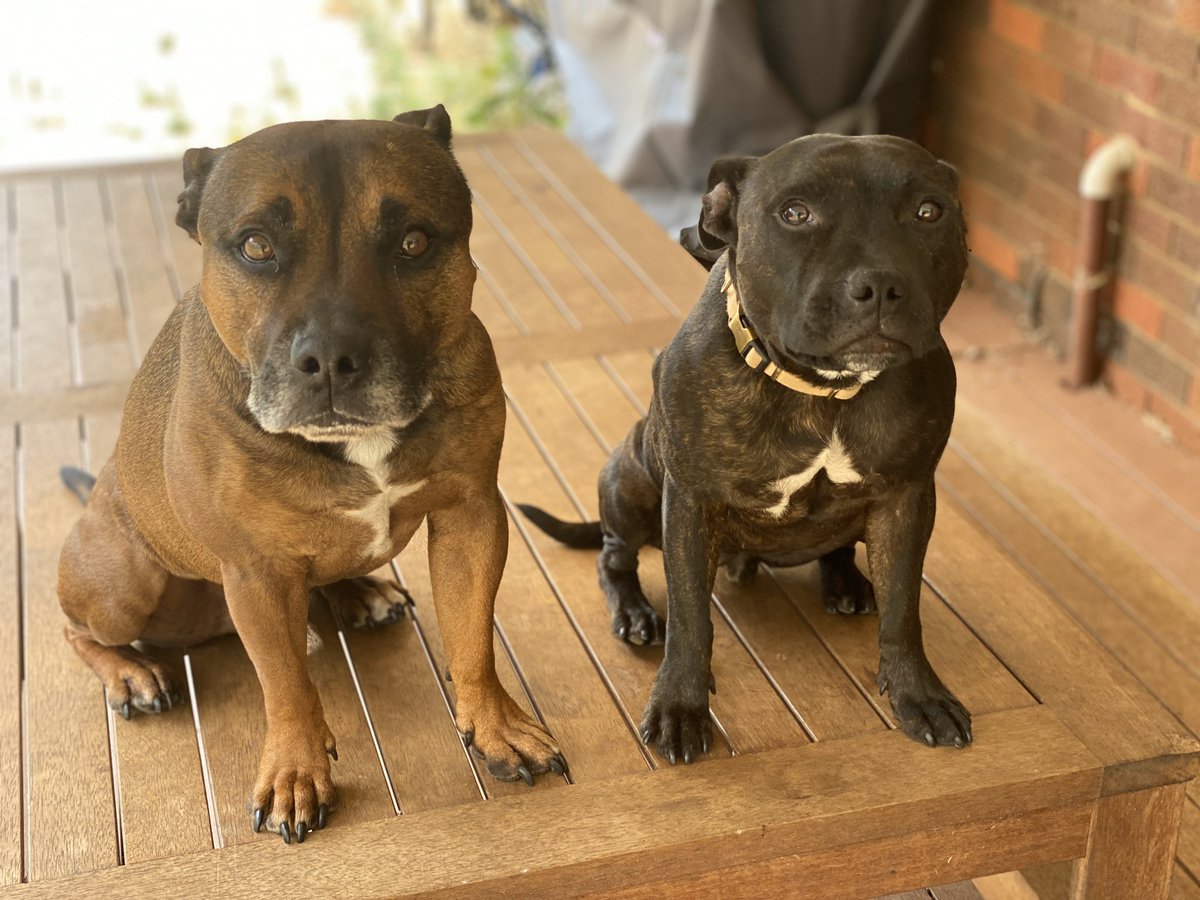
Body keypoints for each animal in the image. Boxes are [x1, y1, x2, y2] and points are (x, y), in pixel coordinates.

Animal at [55, 105, 561, 844]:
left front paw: (494, 725)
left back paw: (357, 590)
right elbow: (287, 685)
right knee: (77, 629)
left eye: (413, 242)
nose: (330, 357)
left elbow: (473, 637)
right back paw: (129, 673)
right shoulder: (257, 574)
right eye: (256, 246)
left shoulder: (470, 517)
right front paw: (295, 773)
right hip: (124, 582)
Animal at [520, 133, 969, 763]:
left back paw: (847, 582)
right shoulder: (689, 501)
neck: (824, 391)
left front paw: (918, 696)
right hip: (631, 478)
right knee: (614, 558)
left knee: (840, 550)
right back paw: (633, 611)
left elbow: (904, 609)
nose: (879, 284)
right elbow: (690, 620)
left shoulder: (906, 500)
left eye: (929, 211)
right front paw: (680, 708)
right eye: (795, 213)